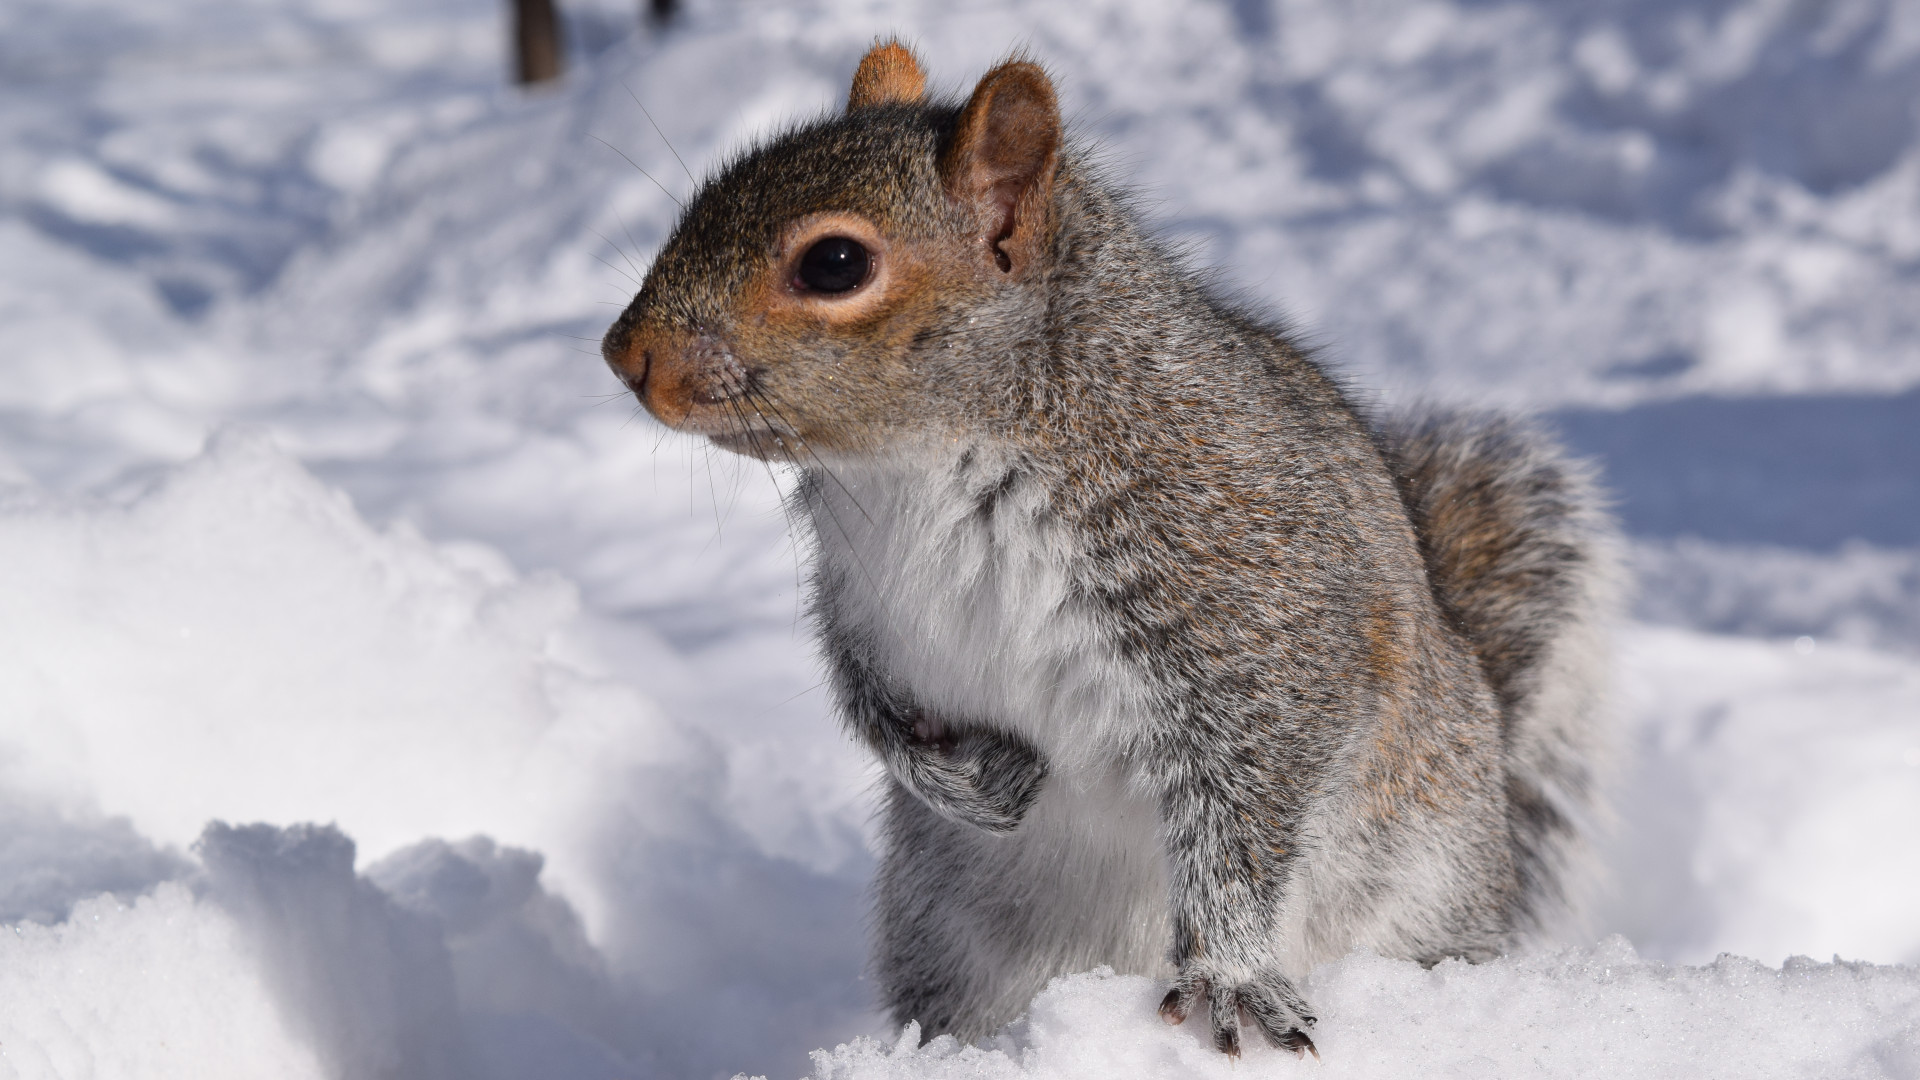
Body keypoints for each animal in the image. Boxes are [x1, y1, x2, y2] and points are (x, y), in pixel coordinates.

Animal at [601, 41, 1619, 1058]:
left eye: (835, 262)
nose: (623, 354)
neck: (920, 465)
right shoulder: (859, 601)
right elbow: (869, 704)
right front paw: (970, 782)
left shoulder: (1254, 598)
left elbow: (1248, 793)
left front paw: (1229, 973)